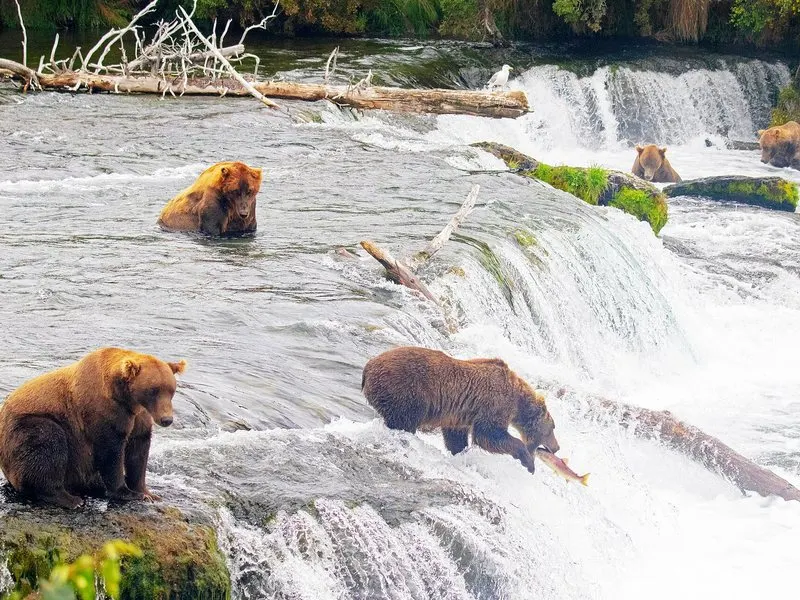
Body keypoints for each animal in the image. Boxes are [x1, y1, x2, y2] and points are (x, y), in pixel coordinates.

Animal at [0, 348, 186, 509]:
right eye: (153, 390)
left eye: (171, 390)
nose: (167, 419)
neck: (128, 399)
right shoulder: (103, 411)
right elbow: (111, 451)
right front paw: (126, 492)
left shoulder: (139, 417)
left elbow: (138, 451)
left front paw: (147, 493)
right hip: (29, 427)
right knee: (48, 444)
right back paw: (70, 499)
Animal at [361, 346, 559, 474]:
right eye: (552, 428)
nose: (556, 447)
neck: (518, 402)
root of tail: (368, 367)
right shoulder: (495, 403)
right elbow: (488, 434)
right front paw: (528, 462)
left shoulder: (460, 415)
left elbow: (456, 436)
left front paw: (461, 453)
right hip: (406, 390)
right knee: (403, 421)